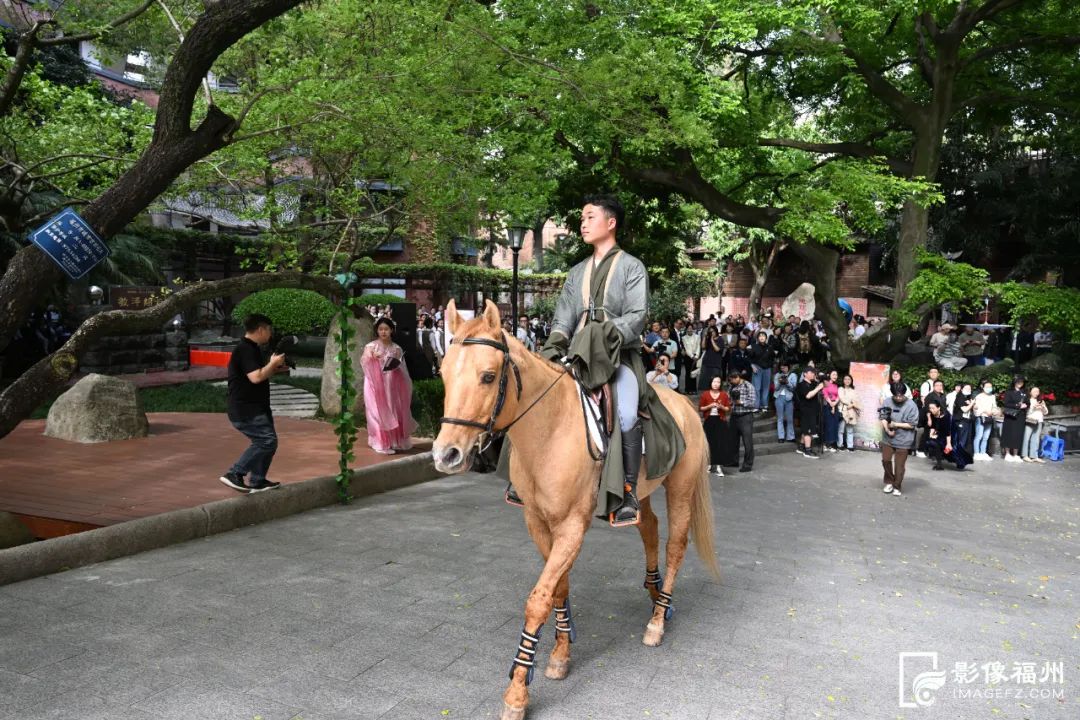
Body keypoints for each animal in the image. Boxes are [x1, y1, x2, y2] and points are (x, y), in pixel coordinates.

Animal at [429, 300, 717, 720]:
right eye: (444, 373)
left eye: (487, 376)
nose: (446, 454)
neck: (549, 430)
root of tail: (686, 405)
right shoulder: (538, 523)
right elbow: (557, 589)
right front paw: (561, 653)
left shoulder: (571, 527)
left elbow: (538, 600)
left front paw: (518, 691)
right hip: (641, 492)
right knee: (648, 527)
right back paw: (654, 592)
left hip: (680, 488)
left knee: (675, 545)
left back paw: (657, 621)